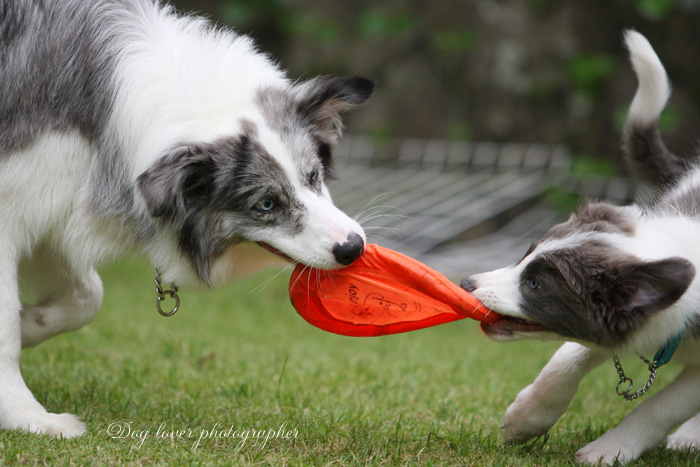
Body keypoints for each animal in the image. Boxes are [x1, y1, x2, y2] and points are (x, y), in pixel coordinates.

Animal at [1, 0, 372, 438]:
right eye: (265, 204)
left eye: (313, 175)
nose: (353, 247)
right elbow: (7, 325)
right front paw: (28, 416)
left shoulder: (57, 205)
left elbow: (88, 296)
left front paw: (30, 323)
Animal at [464, 32, 700, 464]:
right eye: (525, 255)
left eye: (537, 284)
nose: (467, 284)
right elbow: (566, 359)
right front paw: (525, 418)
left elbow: (661, 406)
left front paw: (610, 449)